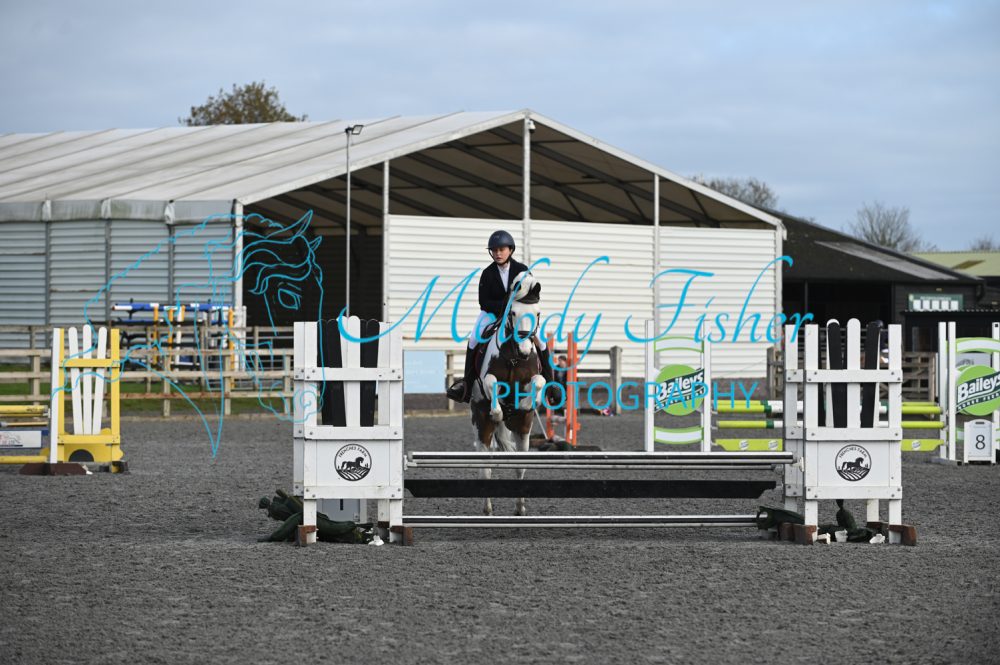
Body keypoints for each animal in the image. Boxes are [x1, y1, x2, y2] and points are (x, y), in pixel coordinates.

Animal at [469, 272, 547, 516]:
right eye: (513, 313)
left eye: (537, 313)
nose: (524, 351)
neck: (513, 356)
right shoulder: (487, 381)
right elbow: (491, 382)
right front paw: (498, 411)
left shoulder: (533, 377)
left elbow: (538, 382)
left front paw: (526, 403)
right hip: (481, 425)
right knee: (485, 467)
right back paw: (487, 509)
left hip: (523, 432)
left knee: (520, 466)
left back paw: (520, 508)